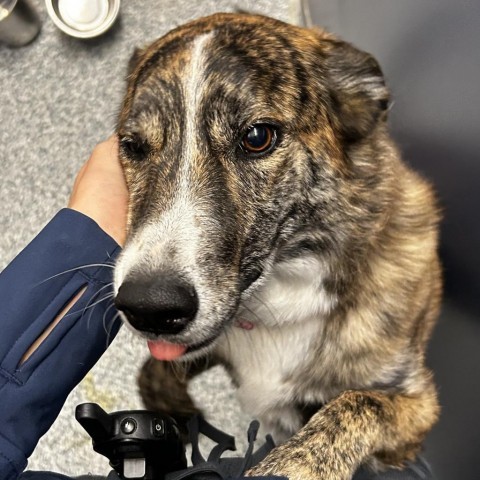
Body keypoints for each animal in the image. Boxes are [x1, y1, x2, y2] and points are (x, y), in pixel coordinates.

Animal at [113, 14, 442, 480]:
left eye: (257, 137)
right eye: (131, 146)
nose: (148, 307)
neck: (282, 293)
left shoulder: (417, 411)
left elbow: (357, 403)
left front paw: (295, 464)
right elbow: (151, 371)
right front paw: (177, 413)